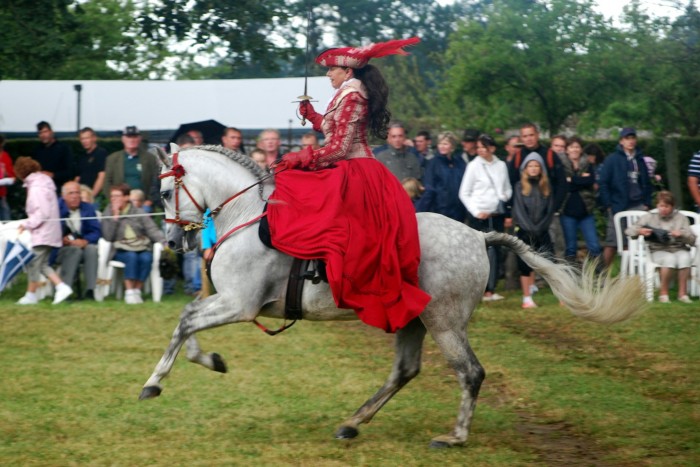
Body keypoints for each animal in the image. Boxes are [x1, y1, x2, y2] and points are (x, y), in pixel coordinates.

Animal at [141, 146, 644, 450]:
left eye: (165, 192)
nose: (173, 241)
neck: (247, 216)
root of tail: (478, 236)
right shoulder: (231, 302)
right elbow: (188, 316)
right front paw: (210, 361)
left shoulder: (238, 304)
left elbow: (185, 321)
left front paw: (157, 382)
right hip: (413, 321)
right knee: (405, 371)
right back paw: (353, 422)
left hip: (445, 323)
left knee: (470, 372)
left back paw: (455, 436)